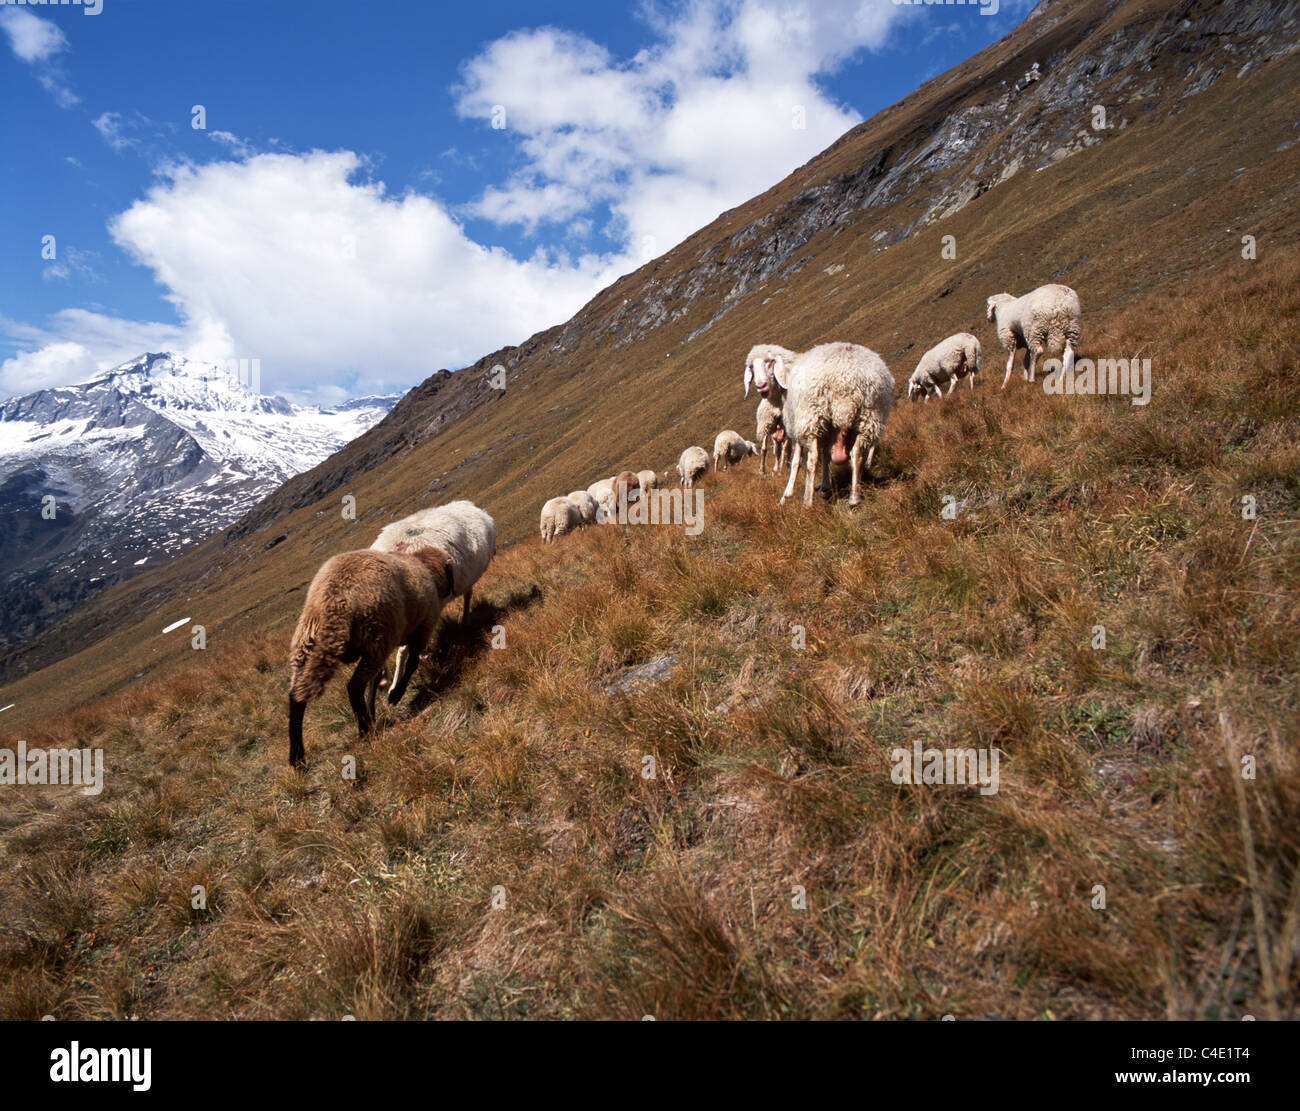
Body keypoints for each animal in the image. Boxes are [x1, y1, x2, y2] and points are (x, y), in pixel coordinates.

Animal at [287, 546, 454, 767]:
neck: (425, 568)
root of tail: (334, 599)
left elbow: (376, 680)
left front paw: (373, 709)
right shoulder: (422, 629)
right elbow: (411, 664)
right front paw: (395, 695)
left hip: (308, 642)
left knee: (297, 696)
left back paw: (297, 757)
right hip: (376, 636)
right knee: (354, 686)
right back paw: (365, 731)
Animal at [772, 342, 896, 509]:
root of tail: (846, 381)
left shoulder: (797, 429)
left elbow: (797, 461)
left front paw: (786, 496)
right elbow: (826, 457)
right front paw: (825, 486)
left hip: (813, 418)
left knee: (812, 460)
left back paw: (807, 502)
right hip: (869, 417)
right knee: (857, 454)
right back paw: (854, 499)